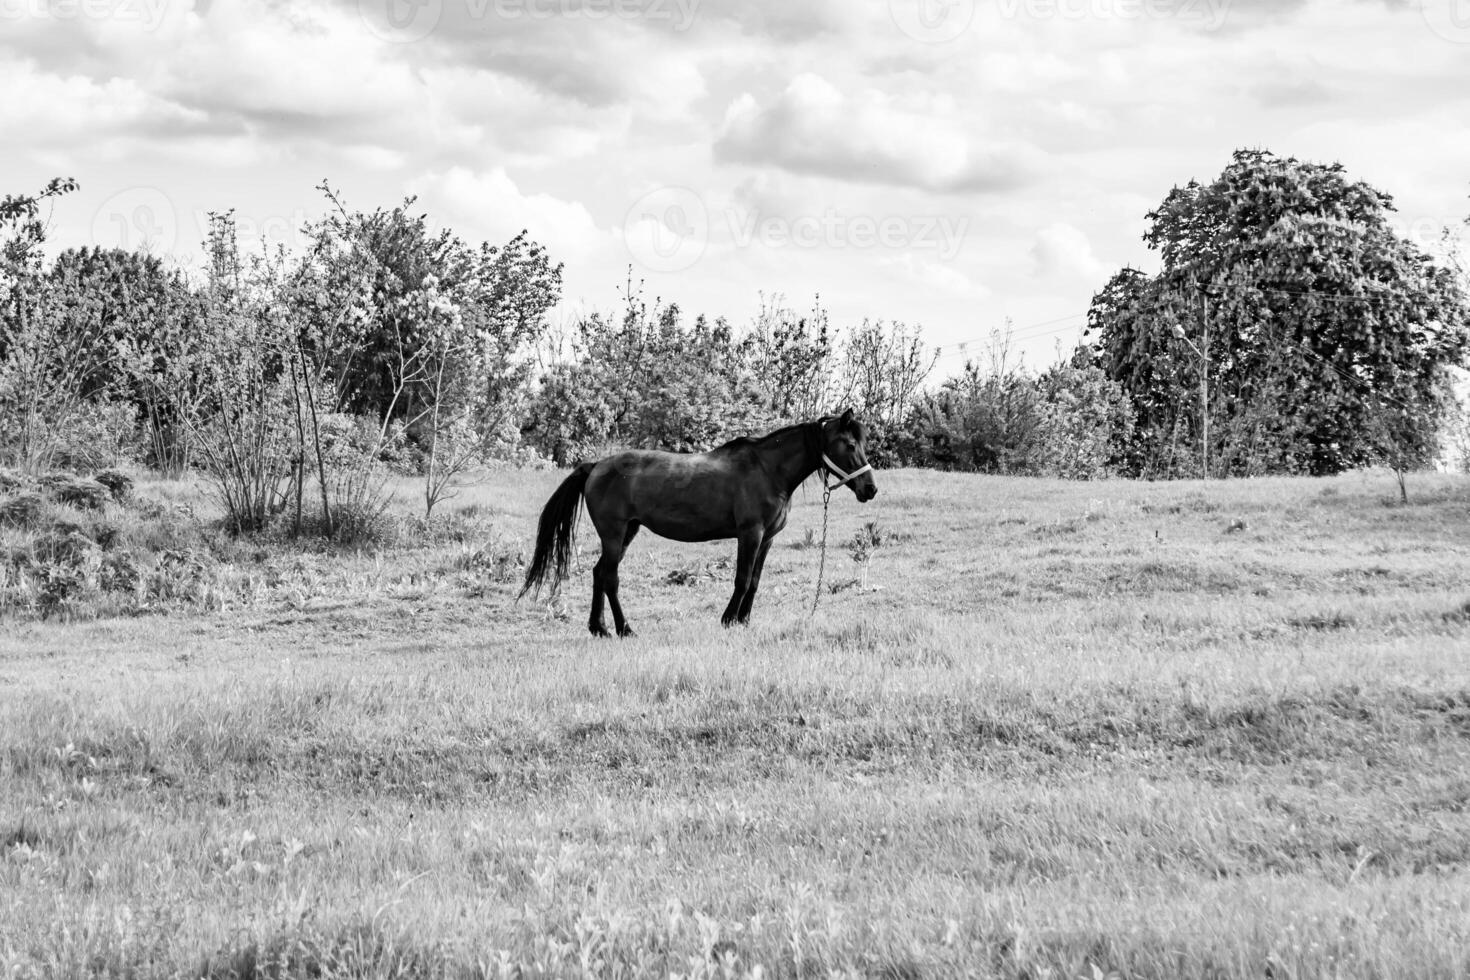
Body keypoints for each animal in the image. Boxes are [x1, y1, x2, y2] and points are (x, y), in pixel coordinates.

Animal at [523, 408, 876, 637]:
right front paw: (729, 620)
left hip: (627, 532)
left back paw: (599, 629)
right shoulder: (750, 534)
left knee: (599, 574)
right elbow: (742, 579)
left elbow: (755, 581)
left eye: (863, 443)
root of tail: (596, 466)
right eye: (849, 444)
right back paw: (624, 629)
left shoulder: (767, 539)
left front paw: (744, 621)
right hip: (614, 534)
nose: (870, 489)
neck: (767, 470)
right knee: (610, 578)